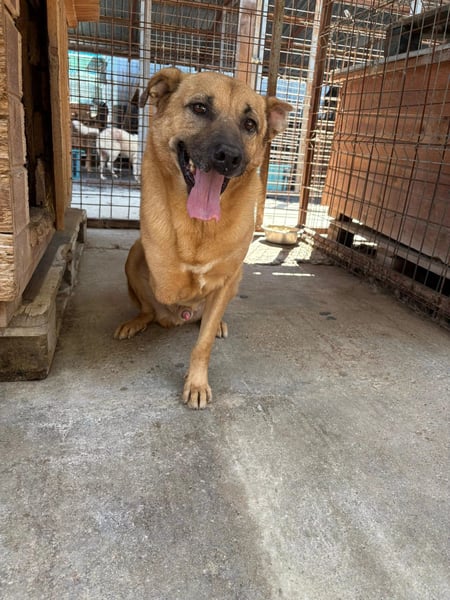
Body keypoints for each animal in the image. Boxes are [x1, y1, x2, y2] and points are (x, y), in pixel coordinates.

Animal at [114, 67, 292, 409]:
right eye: (199, 108)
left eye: (250, 125)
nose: (228, 157)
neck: (199, 227)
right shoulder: (160, 262)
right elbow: (172, 273)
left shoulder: (227, 278)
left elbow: (203, 343)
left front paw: (196, 383)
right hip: (131, 256)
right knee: (147, 308)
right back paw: (137, 321)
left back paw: (213, 321)